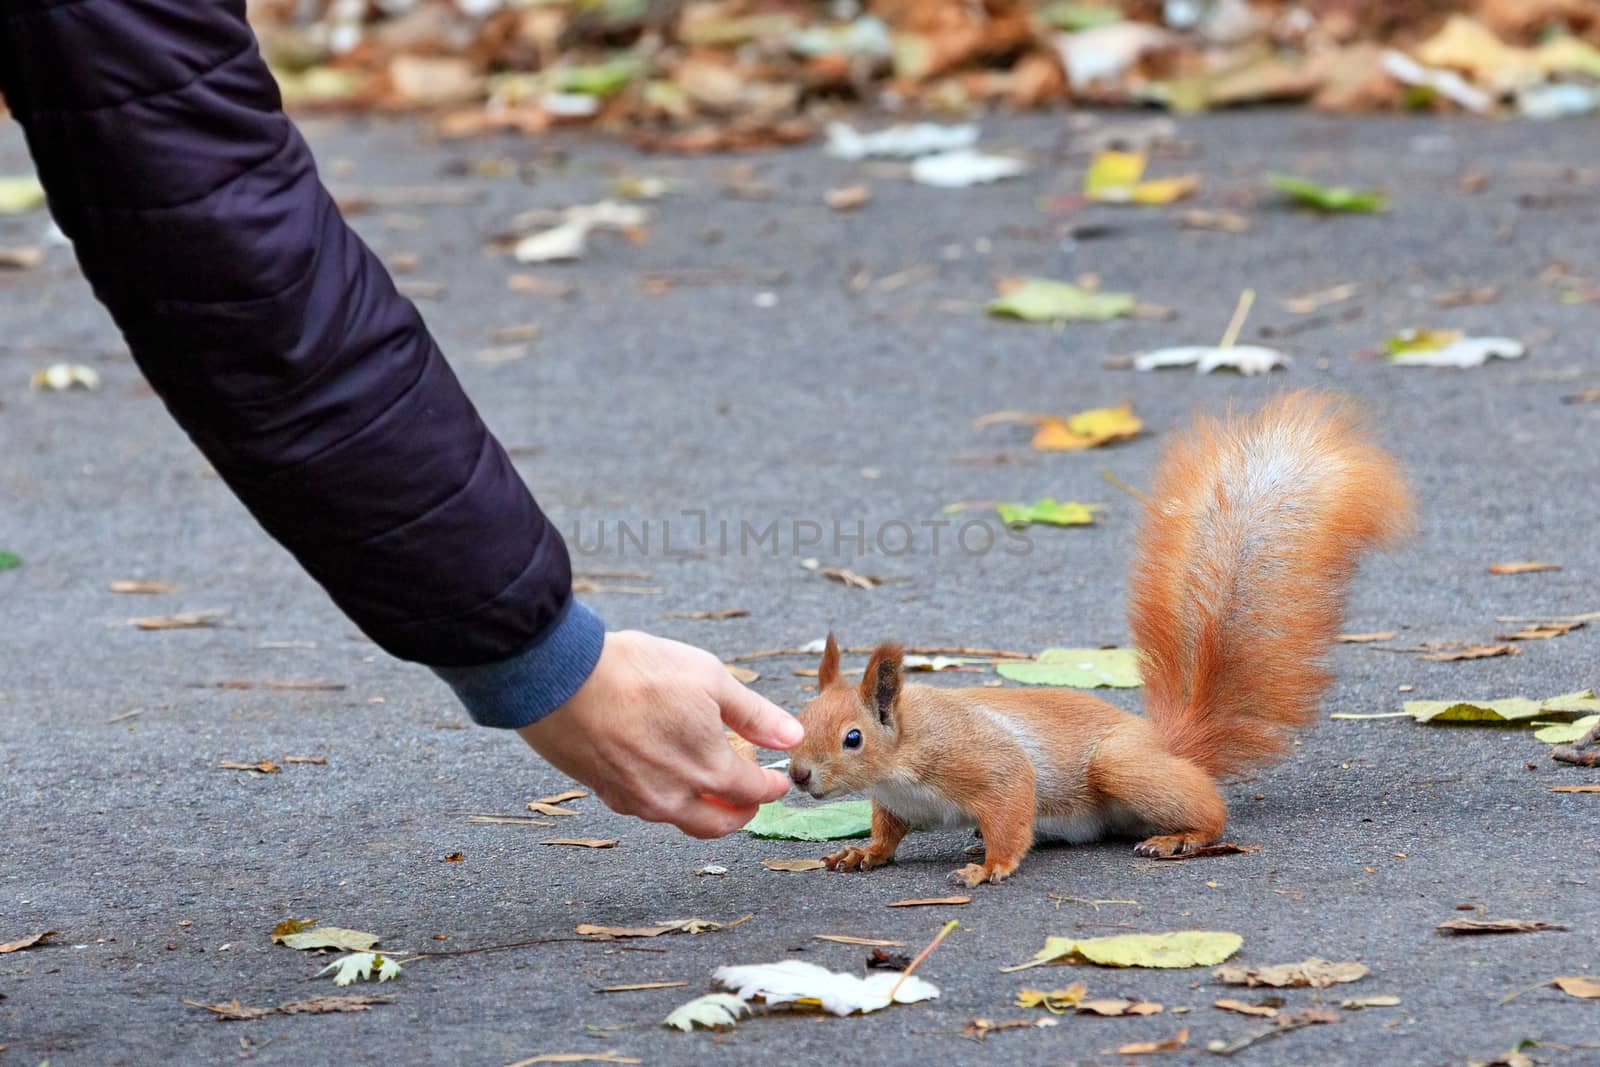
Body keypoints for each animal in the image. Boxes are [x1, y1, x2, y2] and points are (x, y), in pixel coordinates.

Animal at [784, 388, 1414, 889]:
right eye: (800, 718)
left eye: (853, 738)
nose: (797, 774)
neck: (904, 752)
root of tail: (1166, 744)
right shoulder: (895, 802)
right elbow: (888, 833)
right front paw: (863, 853)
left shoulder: (984, 762)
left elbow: (1011, 806)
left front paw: (990, 867)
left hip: (1123, 767)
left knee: (1210, 810)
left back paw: (1179, 838)